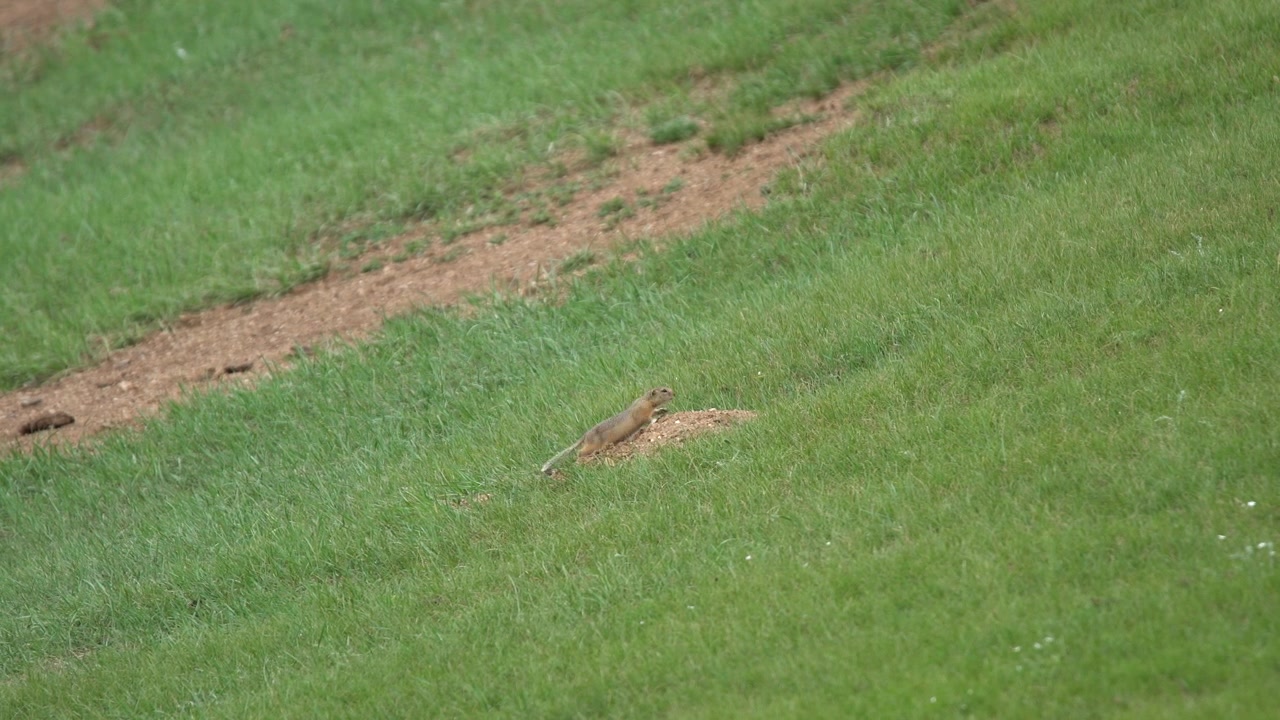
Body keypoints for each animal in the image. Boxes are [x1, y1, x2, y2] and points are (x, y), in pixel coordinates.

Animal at [541, 387, 675, 474]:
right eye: (664, 390)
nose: (674, 393)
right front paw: (655, 419)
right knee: (580, 452)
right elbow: (649, 418)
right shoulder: (643, 412)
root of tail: (585, 436)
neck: (646, 400)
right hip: (592, 445)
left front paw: (663, 410)